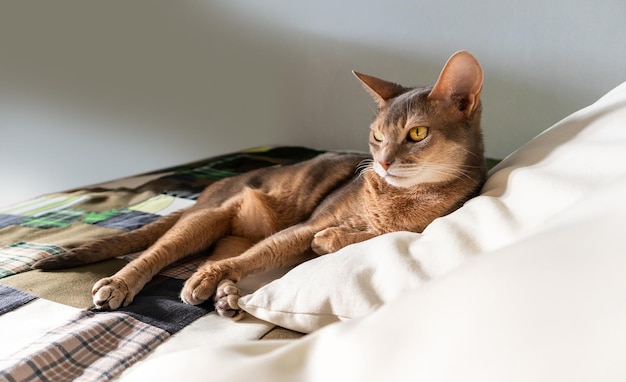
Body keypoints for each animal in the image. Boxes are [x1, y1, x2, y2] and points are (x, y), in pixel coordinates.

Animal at [31, 50, 486, 320]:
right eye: (376, 136)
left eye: (416, 134)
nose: (383, 161)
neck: (398, 196)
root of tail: (214, 188)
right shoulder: (307, 224)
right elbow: (271, 250)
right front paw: (334, 235)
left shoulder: (415, 225)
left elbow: (370, 235)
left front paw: (336, 239)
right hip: (209, 218)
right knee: (158, 253)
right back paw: (122, 284)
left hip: (231, 232)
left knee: (227, 254)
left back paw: (221, 292)